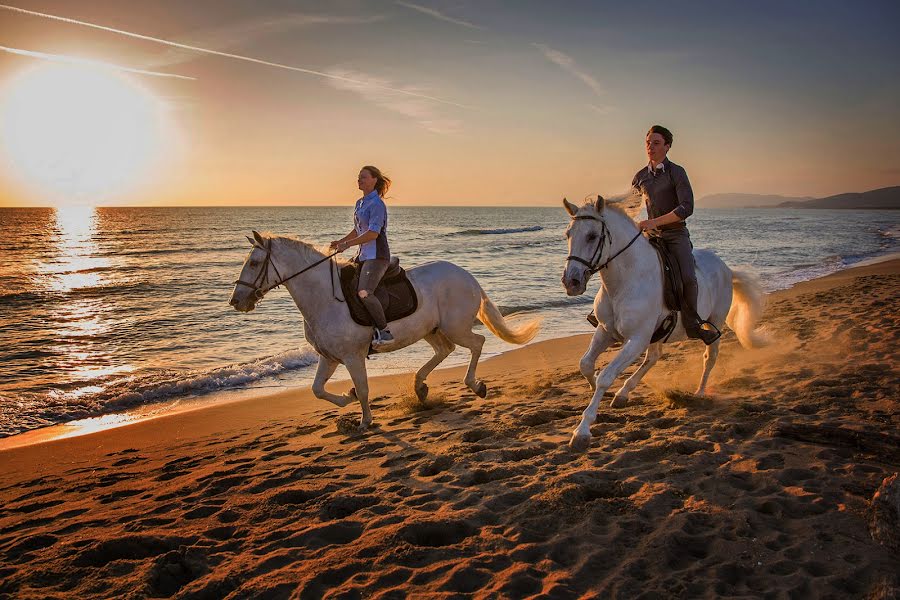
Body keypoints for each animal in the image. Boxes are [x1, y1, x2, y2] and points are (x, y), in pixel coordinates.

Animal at [232, 230, 540, 432]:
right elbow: (317, 389)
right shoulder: (328, 356)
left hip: (455, 327)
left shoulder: (352, 356)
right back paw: (420, 387)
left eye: (255, 263)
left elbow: (364, 389)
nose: (236, 301)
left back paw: (475, 385)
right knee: (445, 350)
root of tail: (467, 276)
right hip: (431, 330)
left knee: (477, 343)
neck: (324, 298)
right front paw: (346, 398)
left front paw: (364, 421)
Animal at [564, 197, 768, 450]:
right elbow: (586, 365)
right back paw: (623, 394)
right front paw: (596, 392)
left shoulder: (637, 339)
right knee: (654, 357)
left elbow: (606, 376)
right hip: (659, 333)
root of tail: (727, 269)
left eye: (592, 236)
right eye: (568, 234)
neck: (625, 281)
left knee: (709, 357)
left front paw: (582, 431)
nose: (571, 282)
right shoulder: (606, 331)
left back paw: (699, 393)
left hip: (714, 322)